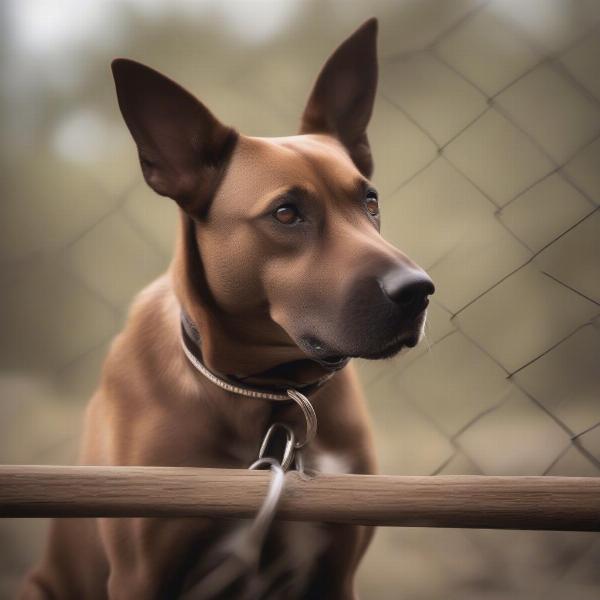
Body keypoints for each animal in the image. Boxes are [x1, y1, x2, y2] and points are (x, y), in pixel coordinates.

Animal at [18, 17, 432, 600]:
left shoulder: (334, 569)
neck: (271, 398)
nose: (419, 290)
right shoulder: (142, 572)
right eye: (286, 213)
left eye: (369, 202)